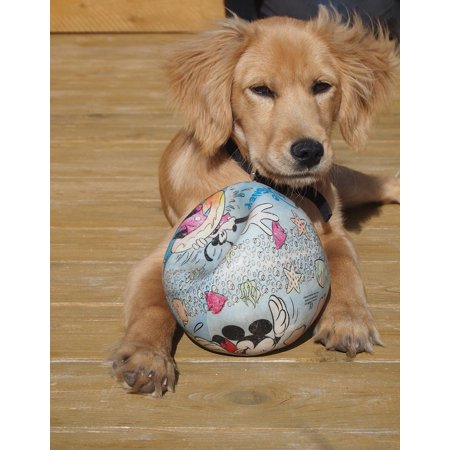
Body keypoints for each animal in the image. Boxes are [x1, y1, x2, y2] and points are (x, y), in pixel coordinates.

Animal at [111, 7, 399, 397]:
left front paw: (348, 319)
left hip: (345, 181)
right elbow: (153, 308)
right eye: (261, 90)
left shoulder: (333, 231)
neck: (265, 179)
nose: (309, 151)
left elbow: (345, 269)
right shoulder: (161, 256)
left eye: (321, 86)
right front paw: (146, 356)